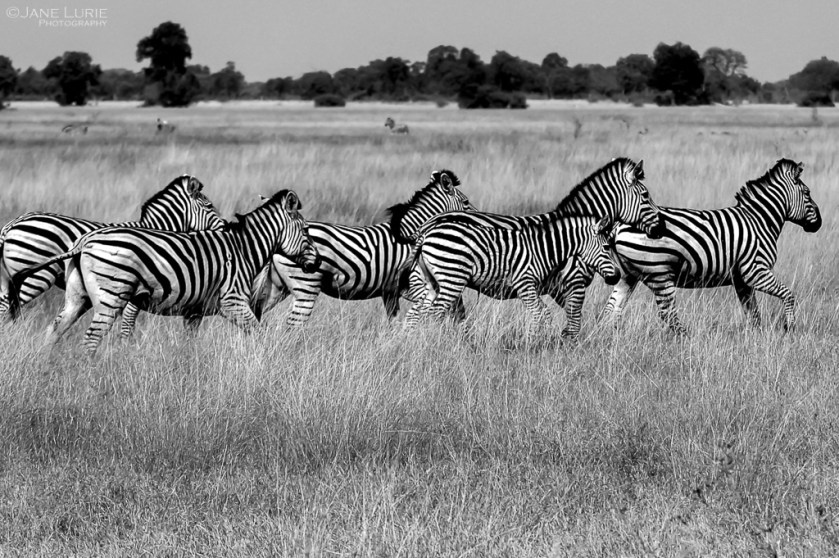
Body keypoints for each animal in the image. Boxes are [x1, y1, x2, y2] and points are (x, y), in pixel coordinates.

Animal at [20, 190, 320, 355]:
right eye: (306, 231)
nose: (316, 264)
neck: (244, 248)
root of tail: (84, 241)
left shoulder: (194, 311)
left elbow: (190, 346)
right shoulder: (232, 301)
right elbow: (261, 334)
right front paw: (267, 361)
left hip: (77, 297)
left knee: (54, 331)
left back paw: (45, 370)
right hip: (111, 295)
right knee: (90, 339)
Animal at [253, 170, 474, 325]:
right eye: (466, 202)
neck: (411, 234)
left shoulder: (390, 291)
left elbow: (394, 323)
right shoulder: (413, 285)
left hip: (277, 287)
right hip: (305, 285)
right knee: (292, 325)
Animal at [404, 213, 621, 336]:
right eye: (607, 247)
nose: (617, 277)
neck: (544, 249)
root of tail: (427, 233)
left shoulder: (532, 288)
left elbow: (544, 313)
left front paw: (536, 341)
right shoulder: (525, 283)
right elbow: (541, 313)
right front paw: (533, 345)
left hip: (431, 282)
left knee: (419, 312)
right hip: (452, 277)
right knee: (436, 312)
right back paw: (436, 343)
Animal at [600, 159, 822, 334]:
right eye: (807, 193)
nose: (819, 223)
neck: (759, 221)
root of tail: (618, 225)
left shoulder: (741, 279)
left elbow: (753, 312)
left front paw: (756, 338)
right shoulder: (755, 271)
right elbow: (788, 294)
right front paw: (789, 327)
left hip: (629, 275)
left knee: (611, 310)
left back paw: (609, 340)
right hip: (659, 273)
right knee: (666, 313)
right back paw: (685, 339)